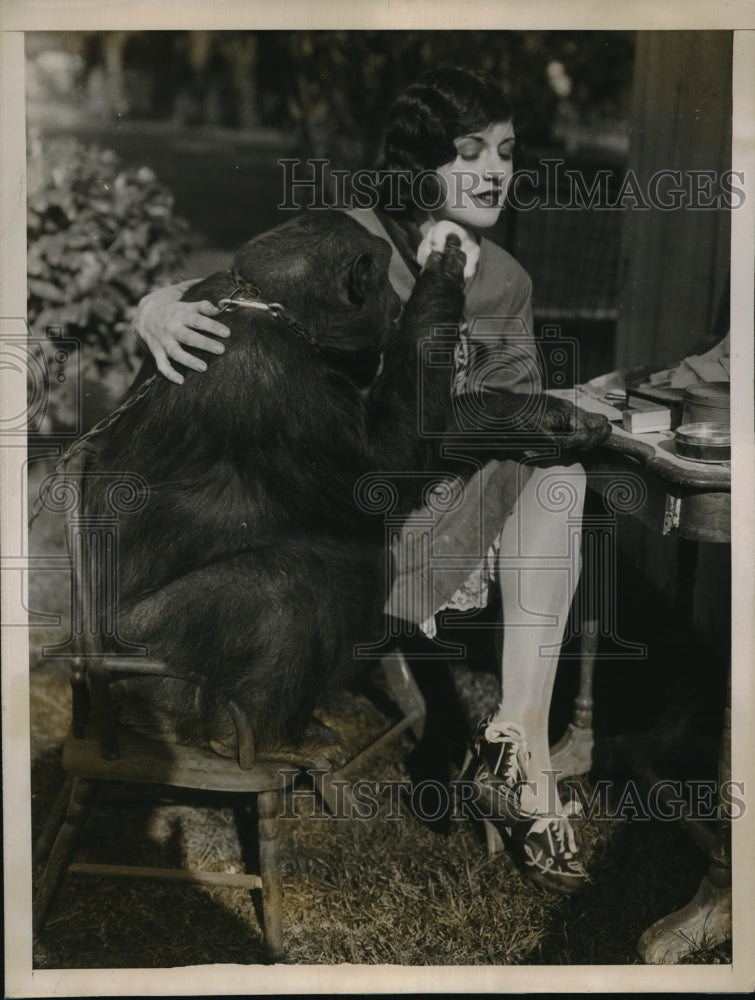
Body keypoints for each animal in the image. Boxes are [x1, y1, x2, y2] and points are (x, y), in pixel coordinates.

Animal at [82, 211, 612, 756]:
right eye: (382, 278)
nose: (398, 306)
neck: (271, 310)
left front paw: (544, 416)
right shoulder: (284, 386)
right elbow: (387, 466)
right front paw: (445, 268)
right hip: (146, 652)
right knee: (293, 582)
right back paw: (249, 732)